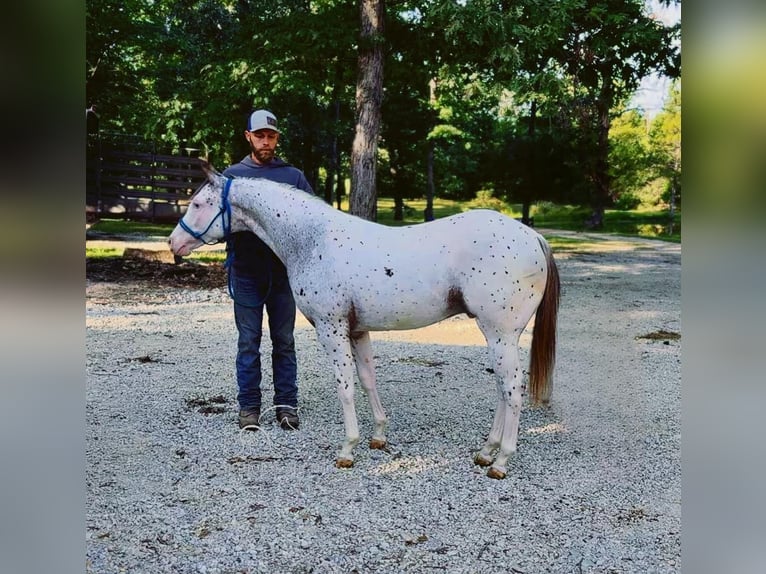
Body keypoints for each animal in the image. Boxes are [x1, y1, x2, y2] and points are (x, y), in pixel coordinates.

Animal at [170, 164, 564, 480]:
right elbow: (367, 380)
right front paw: (378, 436)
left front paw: (347, 449)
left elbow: (345, 387)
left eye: (198, 204)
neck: (313, 240)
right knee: (503, 388)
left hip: (500, 333)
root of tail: (533, 237)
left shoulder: (331, 328)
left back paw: (501, 461)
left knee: (512, 388)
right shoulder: (358, 330)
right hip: (500, 337)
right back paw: (485, 452)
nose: (174, 243)